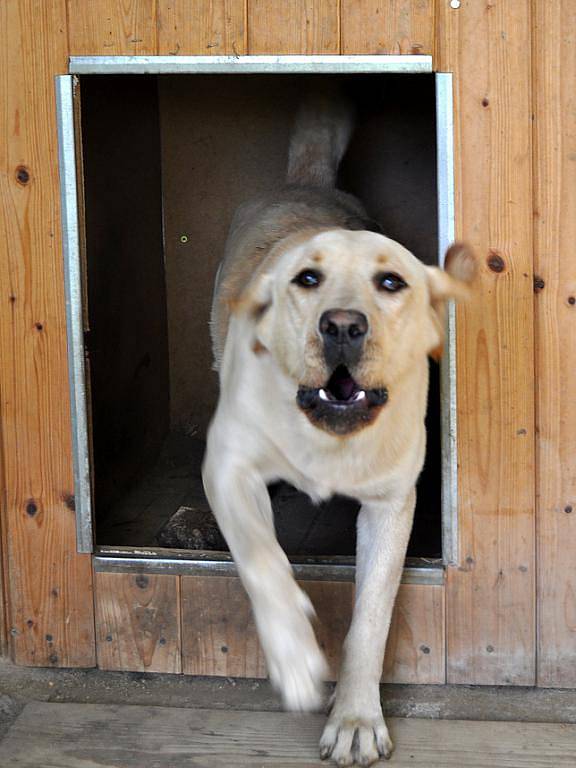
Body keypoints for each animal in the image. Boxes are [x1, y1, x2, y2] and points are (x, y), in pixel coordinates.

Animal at [204, 87, 476, 764]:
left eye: (391, 282)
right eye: (307, 279)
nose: (344, 326)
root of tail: (305, 182)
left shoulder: (390, 502)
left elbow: (371, 617)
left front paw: (356, 717)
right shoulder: (227, 468)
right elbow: (262, 558)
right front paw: (297, 658)